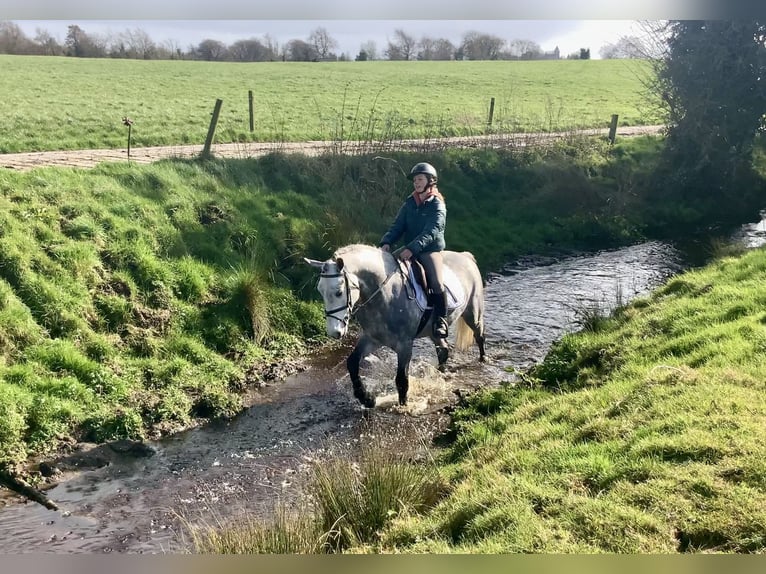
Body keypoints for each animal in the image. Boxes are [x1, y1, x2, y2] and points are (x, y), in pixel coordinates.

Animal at [304, 244, 486, 408]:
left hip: (472, 312)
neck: (385, 295)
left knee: (479, 335)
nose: (334, 332)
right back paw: (441, 373)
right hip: (433, 331)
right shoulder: (372, 338)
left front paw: (403, 406)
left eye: (339, 292)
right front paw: (366, 398)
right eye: (320, 291)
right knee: (443, 350)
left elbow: (401, 380)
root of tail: (465, 256)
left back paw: (483, 359)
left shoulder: (404, 345)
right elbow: (352, 363)